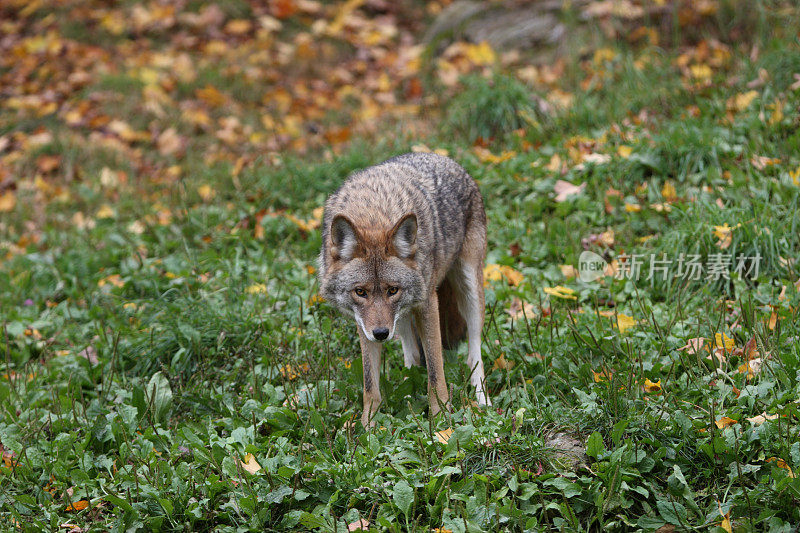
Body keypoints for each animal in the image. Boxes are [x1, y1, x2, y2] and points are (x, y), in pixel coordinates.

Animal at [316, 152, 490, 426]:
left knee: (474, 354)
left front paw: (441, 421)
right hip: (402, 317)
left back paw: (482, 400)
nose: (380, 334)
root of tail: (444, 158)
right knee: (413, 356)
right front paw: (367, 427)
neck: (374, 213)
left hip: (469, 290)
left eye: (392, 290)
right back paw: (408, 390)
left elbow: (436, 374)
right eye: (360, 292)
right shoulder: (364, 323)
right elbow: (369, 384)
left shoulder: (428, 305)